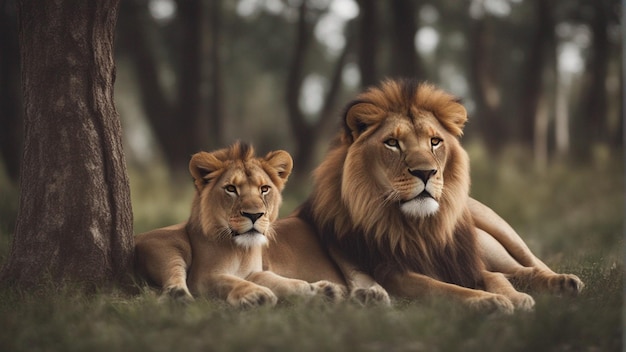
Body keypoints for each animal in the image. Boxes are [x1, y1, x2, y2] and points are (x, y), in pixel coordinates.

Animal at [133, 142, 344, 306]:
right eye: (231, 189)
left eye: (264, 189)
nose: (254, 215)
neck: (242, 250)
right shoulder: (202, 277)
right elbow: (230, 281)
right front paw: (256, 294)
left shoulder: (254, 273)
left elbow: (287, 282)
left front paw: (322, 292)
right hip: (169, 247)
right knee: (173, 279)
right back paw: (179, 298)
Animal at [264, 78, 580, 312]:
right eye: (392, 143)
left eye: (435, 141)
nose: (426, 173)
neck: (419, 228)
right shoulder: (394, 272)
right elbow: (443, 288)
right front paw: (488, 300)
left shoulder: (464, 261)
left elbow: (496, 277)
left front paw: (514, 298)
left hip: (497, 231)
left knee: (527, 265)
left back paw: (562, 281)